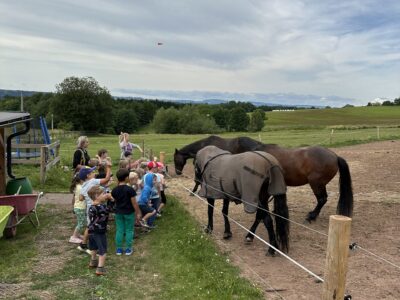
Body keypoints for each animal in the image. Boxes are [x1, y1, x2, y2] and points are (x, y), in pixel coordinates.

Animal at [175, 136, 354, 223]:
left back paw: (311, 216)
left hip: (316, 183)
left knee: (322, 199)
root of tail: (334, 155)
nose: (177, 172)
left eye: (177, 160)